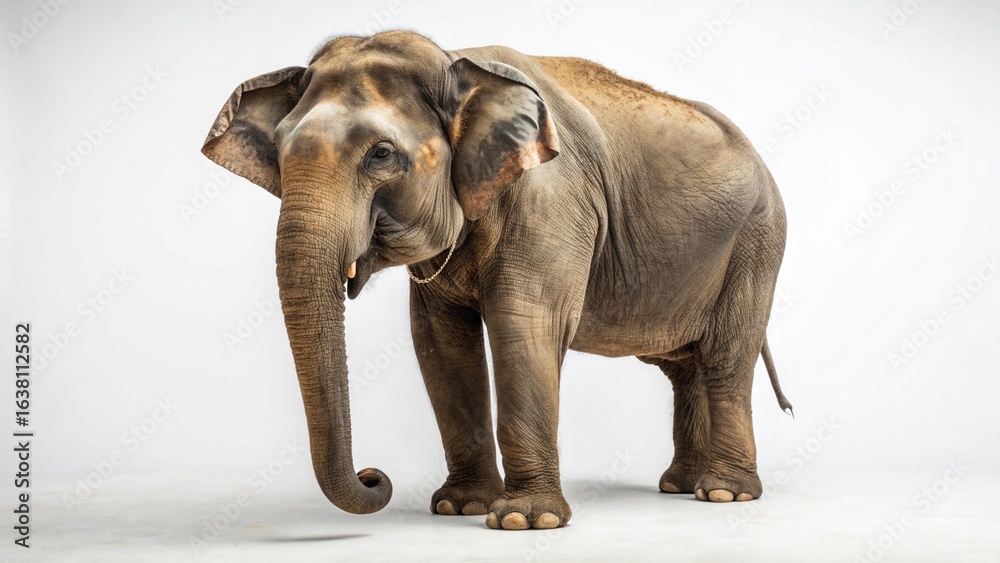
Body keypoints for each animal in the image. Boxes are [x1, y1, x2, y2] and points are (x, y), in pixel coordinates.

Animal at [201, 30, 792, 531]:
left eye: (382, 153)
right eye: (280, 154)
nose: (374, 476)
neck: (455, 62)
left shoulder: (551, 201)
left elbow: (524, 325)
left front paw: (524, 521)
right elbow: (439, 342)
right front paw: (460, 508)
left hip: (759, 240)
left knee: (726, 357)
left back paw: (724, 493)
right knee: (683, 365)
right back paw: (681, 486)